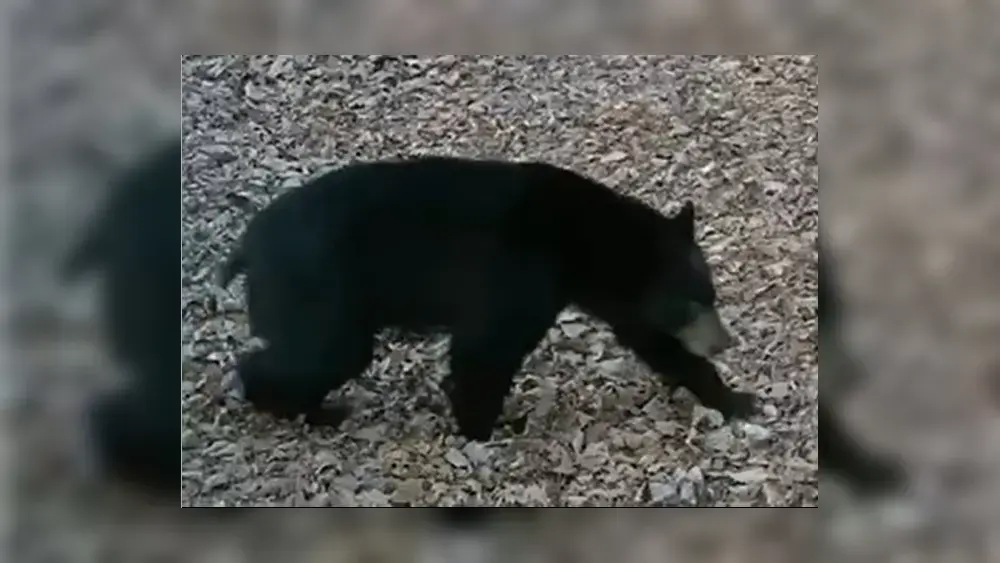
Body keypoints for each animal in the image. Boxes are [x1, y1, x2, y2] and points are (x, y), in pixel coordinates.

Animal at [218, 156, 757, 441]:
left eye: (712, 295)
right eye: (693, 303)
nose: (724, 342)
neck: (579, 243)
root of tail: (247, 248)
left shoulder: (616, 295)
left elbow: (654, 342)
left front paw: (735, 398)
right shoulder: (521, 274)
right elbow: (487, 348)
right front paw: (483, 426)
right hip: (320, 290)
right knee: (323, 352)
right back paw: (302, 407)